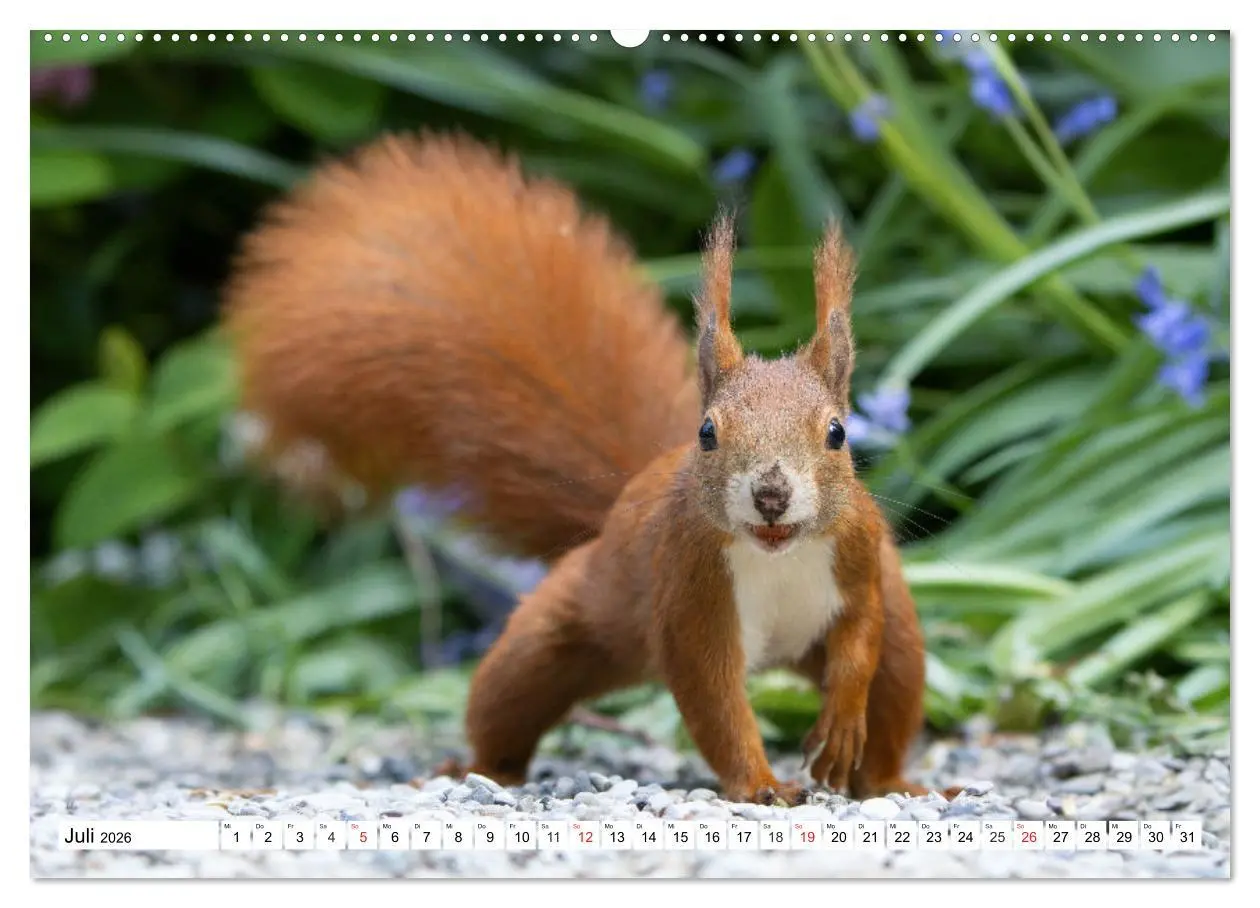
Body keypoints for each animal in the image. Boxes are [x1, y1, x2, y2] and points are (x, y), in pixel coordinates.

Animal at [222, 131, 951, 804]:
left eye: (837, 433)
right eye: (707, 434)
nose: (771, 493)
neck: (774, 554)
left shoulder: (859, 553)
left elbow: (860, 635)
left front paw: (840, 721)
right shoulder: (686, 583)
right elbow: (712, 695)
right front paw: (760, 786)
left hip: (903, 646)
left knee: (893, 684)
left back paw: (892, 782)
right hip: (563, 630)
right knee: (510, 694)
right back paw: (480, 768)